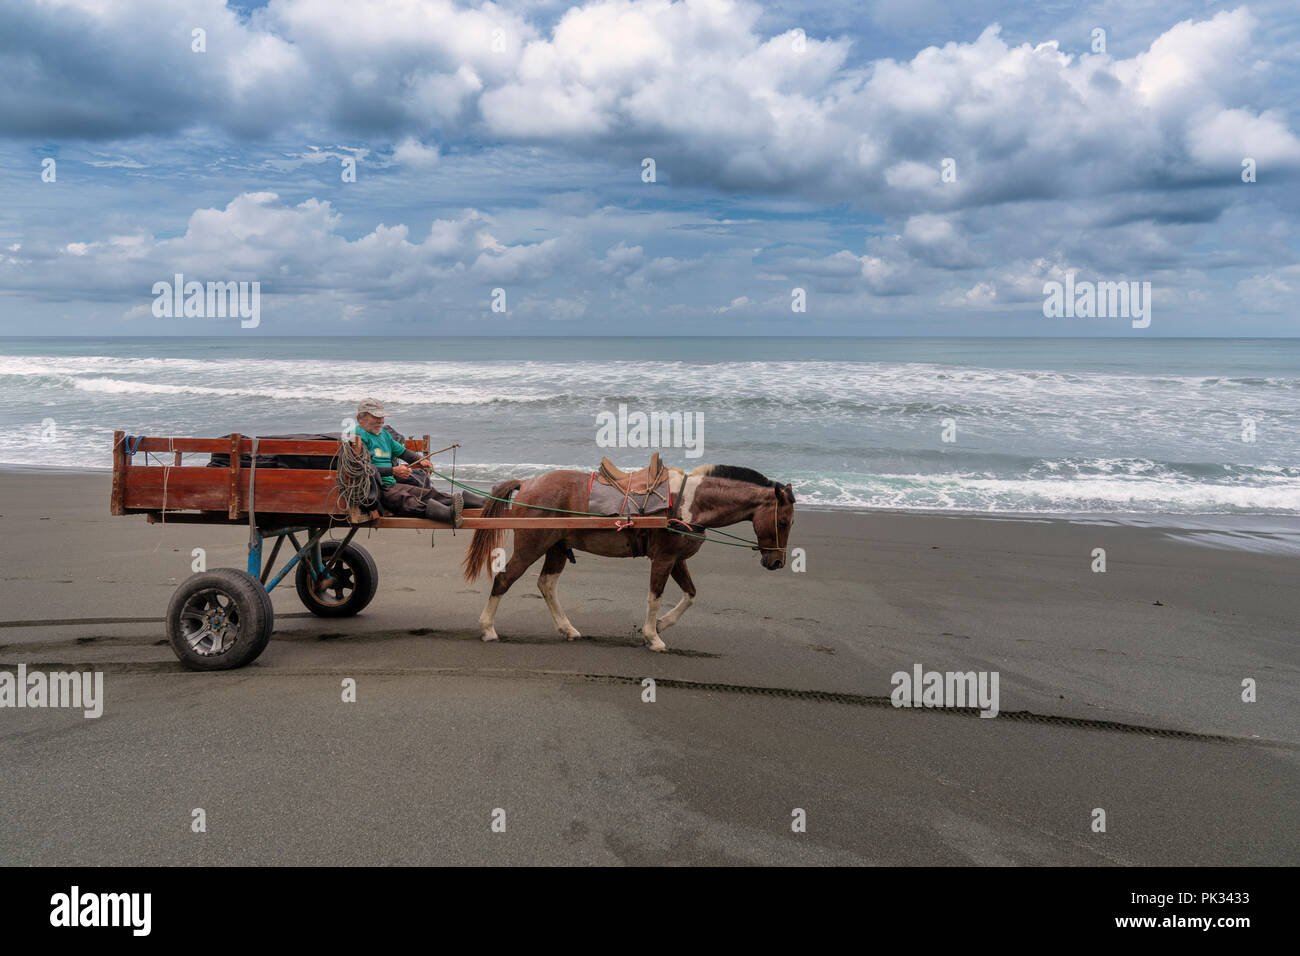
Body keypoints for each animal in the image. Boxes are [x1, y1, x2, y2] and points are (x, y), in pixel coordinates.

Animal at [462, 463, 795, 650]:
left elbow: (690, 595)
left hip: (556, 546)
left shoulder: (677, 559)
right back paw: (488, 629)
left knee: (546, 584)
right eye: (783, 522)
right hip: (532, 544)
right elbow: (655, 597)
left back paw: (567, 628)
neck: (689, 503)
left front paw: (661, 625)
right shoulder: (664, 559)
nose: (777, 562)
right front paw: (653, 636)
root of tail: (529, 483)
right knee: (504, 579)